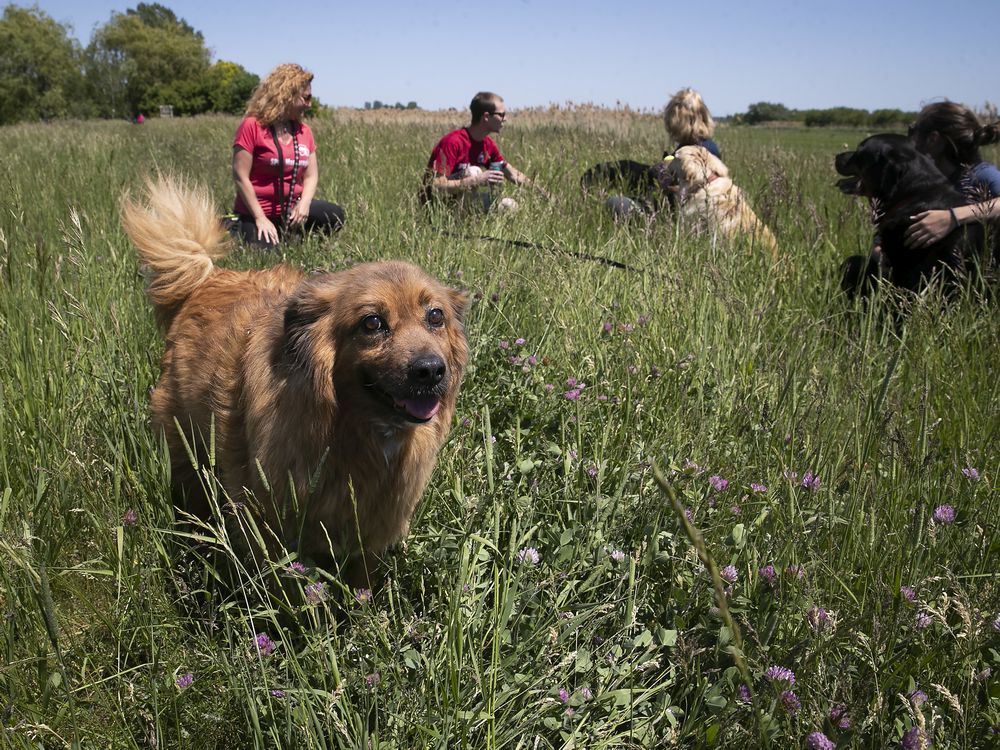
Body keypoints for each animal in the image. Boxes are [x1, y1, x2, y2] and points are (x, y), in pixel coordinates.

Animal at [122, 178, 468, 588]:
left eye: (435, 316)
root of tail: (208, 277)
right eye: (372, 323)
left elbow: (361, 583)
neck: (352, 428)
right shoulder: (273, 525)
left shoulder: (371, 528)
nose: (430, 371)